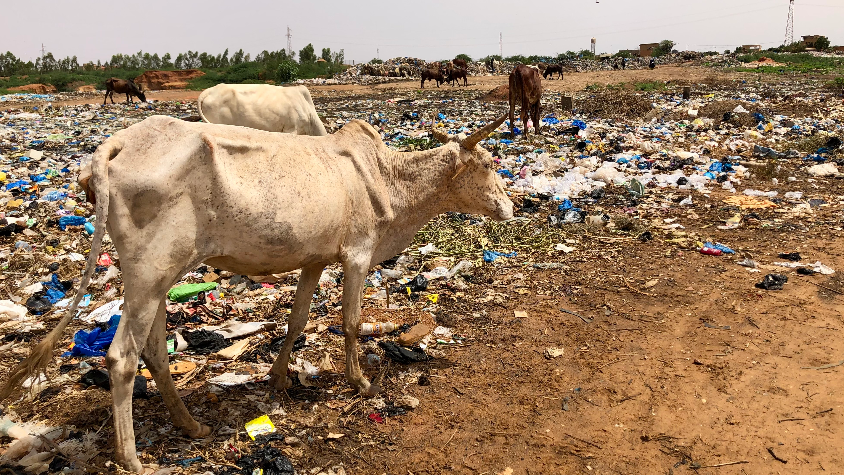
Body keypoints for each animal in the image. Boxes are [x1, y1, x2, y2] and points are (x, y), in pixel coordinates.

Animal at [3, 113, 512, 474]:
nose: (511, 207)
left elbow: (298, 319)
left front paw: (279, 378)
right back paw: (132, 459)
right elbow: (349, 322)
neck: (389, 178)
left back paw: (191, 425)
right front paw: (361, 382)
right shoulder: (358, 254)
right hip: (150, 273)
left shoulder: (315, 260)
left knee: (155, 350)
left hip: (156, 277)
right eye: (488, 164)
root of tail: (116, 144)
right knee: (122, 356)